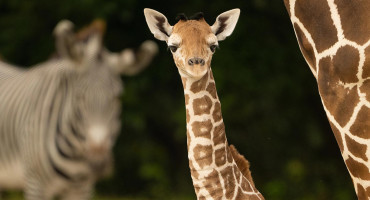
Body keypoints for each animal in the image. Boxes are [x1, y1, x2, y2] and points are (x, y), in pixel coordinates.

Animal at [0, 19, 158, 200]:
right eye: (79, 97)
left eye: (117, 98)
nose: (98, 162)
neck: (74, 156)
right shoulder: (36, 184)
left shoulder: (82, 189)